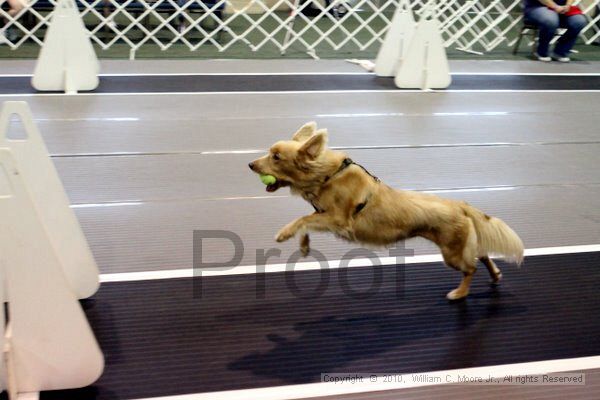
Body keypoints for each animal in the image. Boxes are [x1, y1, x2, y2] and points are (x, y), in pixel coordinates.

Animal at [246, 122, 524, 300]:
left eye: (276, 157)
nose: (250, 164)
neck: (327, 175)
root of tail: (461, 205)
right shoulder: (325, 216)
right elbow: (307, 222)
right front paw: (303, 246)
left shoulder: (338, 220)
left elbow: (303, 218)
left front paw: (284, 233)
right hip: (459, 246)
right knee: (482, 254)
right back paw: (495, 275)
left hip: (451, 254)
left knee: (471, 268)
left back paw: (460, 293)